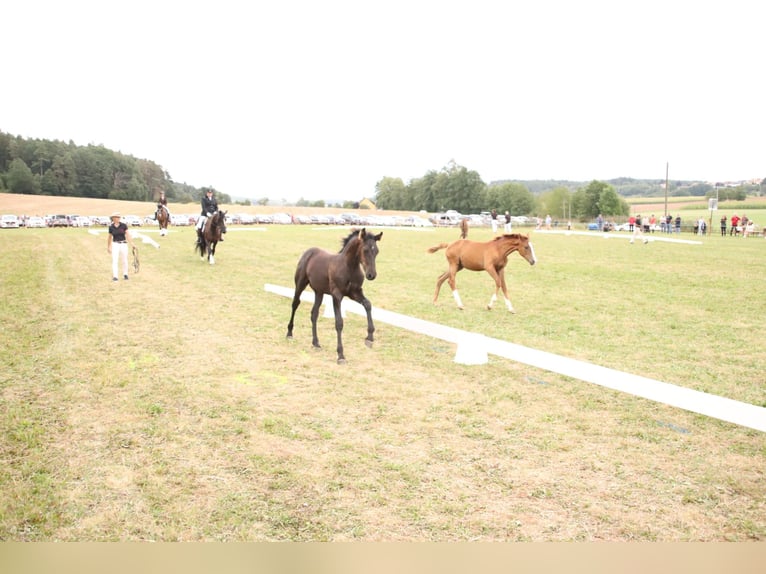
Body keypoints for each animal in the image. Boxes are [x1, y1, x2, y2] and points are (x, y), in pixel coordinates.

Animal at [288, 230, 384, 364]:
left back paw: (316, 343)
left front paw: (369, 338)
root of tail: (309, 251)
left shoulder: (355, 293)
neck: (349, 267)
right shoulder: (337, 295)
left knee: (314, 313)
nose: (371, 275)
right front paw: (341, 355)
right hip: (300, 284)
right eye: (365, 250)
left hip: (319, 292)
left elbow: (368, 304)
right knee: (295, 303)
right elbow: (339, 323)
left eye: (377, 251)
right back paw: (289, 333)